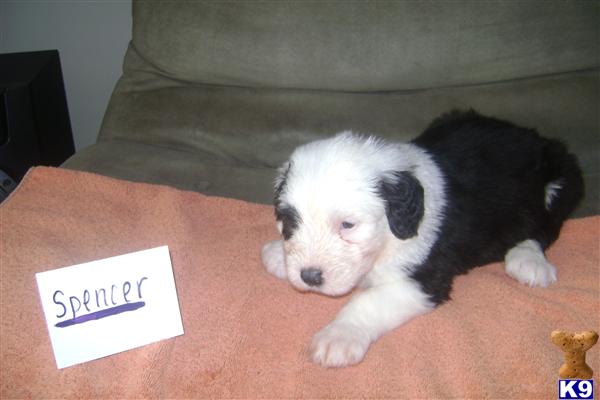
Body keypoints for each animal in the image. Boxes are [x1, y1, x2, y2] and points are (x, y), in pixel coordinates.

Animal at [260, 110, 584, 368]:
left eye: (348, 225)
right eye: (290, 221)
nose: (310, 276)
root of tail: (534, 136)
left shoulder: (424, 279)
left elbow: (368, 302)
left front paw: (338, 337)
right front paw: (278, 254)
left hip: (561, 183)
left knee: (545, 228)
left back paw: (528, 259)